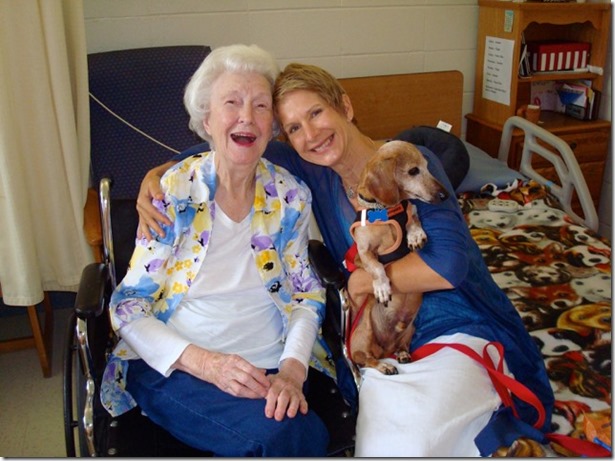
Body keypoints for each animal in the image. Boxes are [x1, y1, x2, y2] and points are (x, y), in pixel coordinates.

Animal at [345, 140, 448, 375]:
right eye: (413, 171)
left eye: (427, 166)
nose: (444, 195)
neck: (384, 211)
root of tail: (385, 349)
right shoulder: (362, 253)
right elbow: (375, 266)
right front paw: (382, 286)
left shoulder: (410, 210)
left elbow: (414, 217)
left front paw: (415, 235)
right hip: (364, 332)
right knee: (365, 359)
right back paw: (384, 365)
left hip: (410, 329)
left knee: (400, 347)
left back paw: (401, 354)